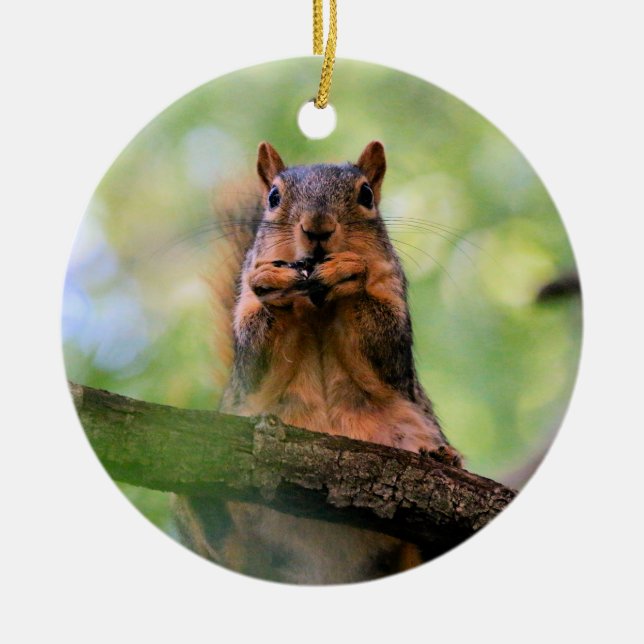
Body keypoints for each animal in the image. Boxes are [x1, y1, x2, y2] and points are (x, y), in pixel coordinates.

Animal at [174, 141, 463, 584]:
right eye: (273, 197)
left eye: (366, 195)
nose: (318, 228)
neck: (318, 305)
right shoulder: (247, 333)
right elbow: (254, 356)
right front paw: (274, 284)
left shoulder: (392, 304)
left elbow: (385, 346)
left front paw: (349, 272)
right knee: (232, 552)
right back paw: (203, 505)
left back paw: (443, 459)